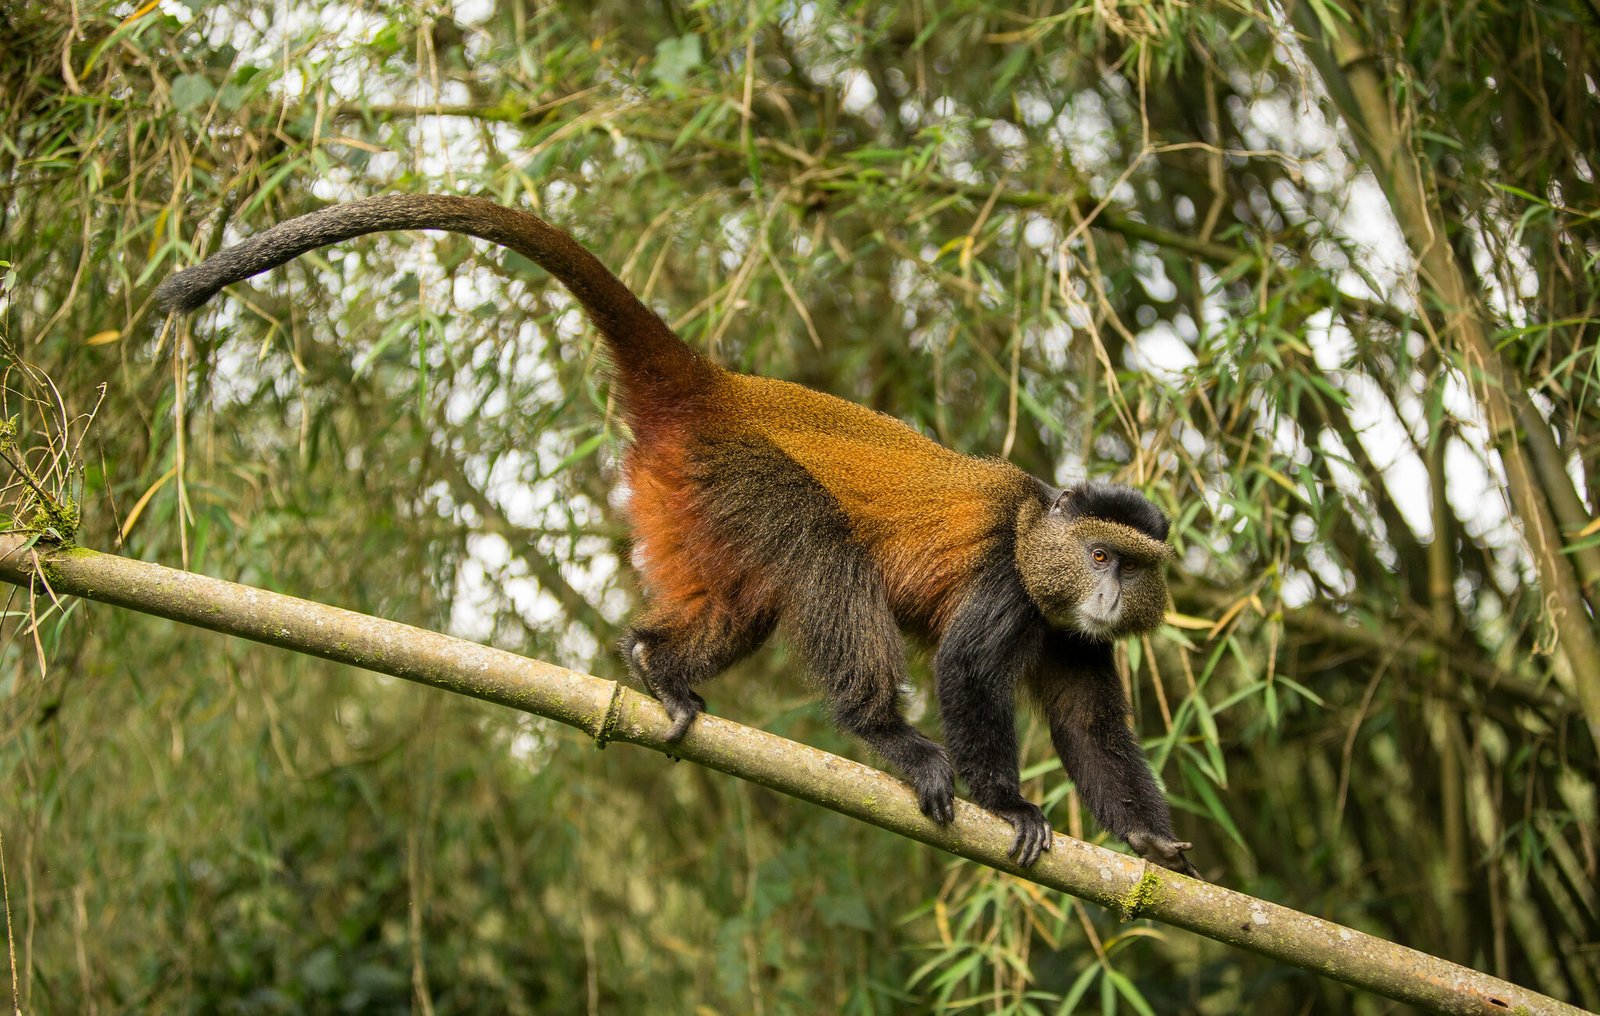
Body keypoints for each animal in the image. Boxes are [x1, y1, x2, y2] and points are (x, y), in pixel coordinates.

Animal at [155, 193, 1199, 877]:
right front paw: (1007, 802)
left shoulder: (1074, 634)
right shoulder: (1004, 579)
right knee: (822, 550)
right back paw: (887, 736)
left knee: (746, 603)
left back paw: (655, 663)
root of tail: (716, 386)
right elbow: (969, 673)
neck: (1036, 538)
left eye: (1133, 565)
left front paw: (1154, 844)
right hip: (742, 473)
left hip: (692, 498)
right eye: (1099, 556)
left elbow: (1093, 729)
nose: (1110, 590)